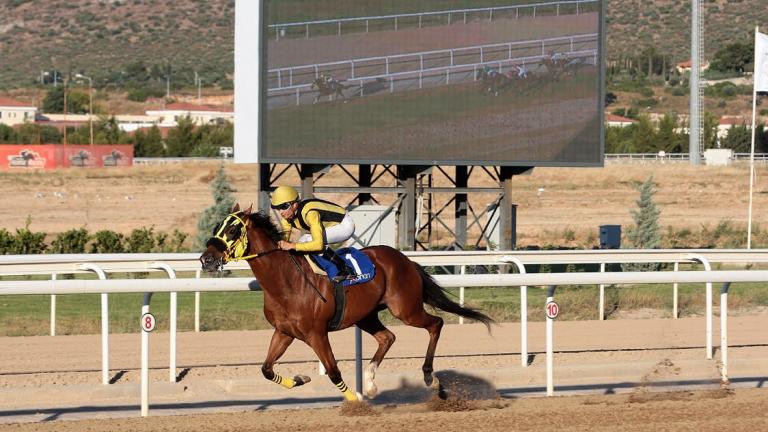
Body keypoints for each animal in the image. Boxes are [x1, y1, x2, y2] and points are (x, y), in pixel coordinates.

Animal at [201, 205, 496, 402]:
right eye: (217, 227)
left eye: (232, 229)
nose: (206, 259)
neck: (286, 282)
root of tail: (405, 260)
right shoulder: (284, 332)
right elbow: (265, 368)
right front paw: (300, 378)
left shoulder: (316, 333)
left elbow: (333, 371)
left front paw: (355, 404)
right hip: (366, 315)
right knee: (387, 337)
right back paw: (372, 383)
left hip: (406, 309)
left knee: (436, 323)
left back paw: (430, 379)